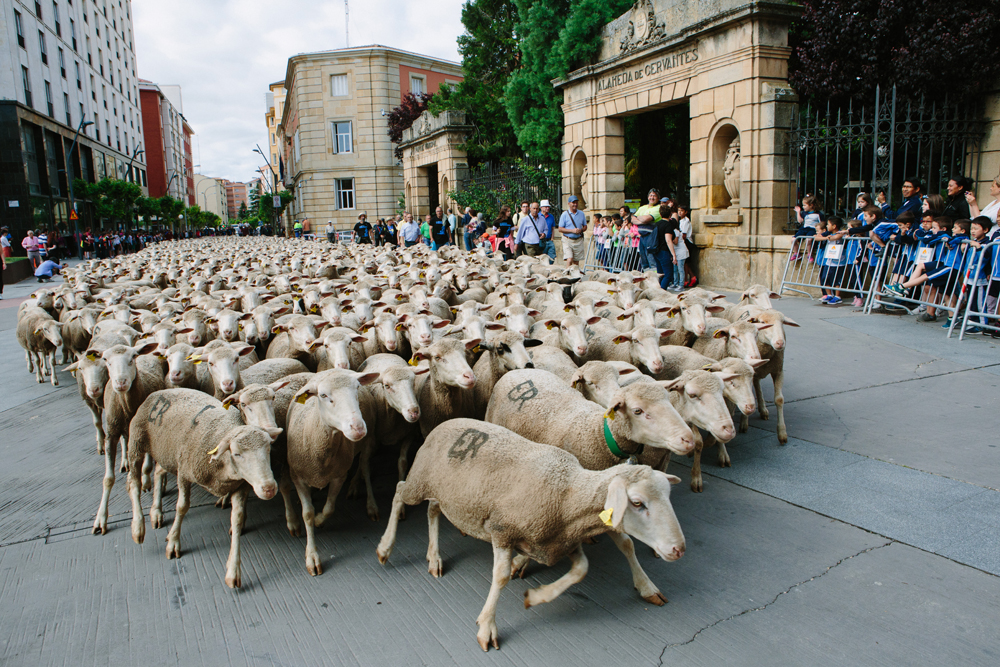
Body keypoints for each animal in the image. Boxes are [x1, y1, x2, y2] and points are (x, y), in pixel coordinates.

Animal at [127, 388, 282, 588]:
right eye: (237, 454)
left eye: (268, 449)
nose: (269, 488)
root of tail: (162, 390)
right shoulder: (184, 472)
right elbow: (182, 507)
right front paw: (173, 542)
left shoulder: (241, 486)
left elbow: (237, 519)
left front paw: (233, 570)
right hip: (137, 441)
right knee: (134, 483)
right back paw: (138, 527)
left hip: (167, 451)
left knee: (158, 472)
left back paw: (156, 511)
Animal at [376, 420, 688, 648]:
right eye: (637, 503)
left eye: (668, 495)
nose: (679, 550)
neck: (567, 494)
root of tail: (441, 424)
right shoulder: (502, 530)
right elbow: (500, 576)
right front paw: (487, 626)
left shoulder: (560, 542)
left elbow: (581, 569)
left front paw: (536, 597)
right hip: (420, 481)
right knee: (399, 492)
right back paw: (385, 547)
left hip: (447, 494)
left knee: (433, 511)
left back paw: (434, 557)